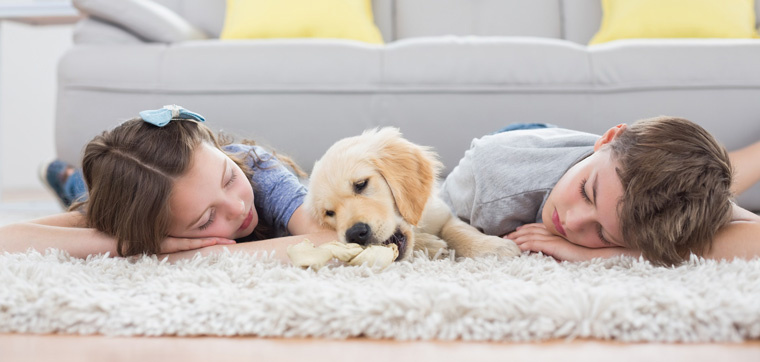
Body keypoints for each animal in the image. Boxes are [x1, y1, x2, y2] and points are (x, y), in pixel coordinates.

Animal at [304, 129, 524, 262]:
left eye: (360, 184)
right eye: (329, 213)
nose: (355, 233)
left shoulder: (442, 213)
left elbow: (459, 231)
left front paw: (494, 247)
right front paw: (431, 245)